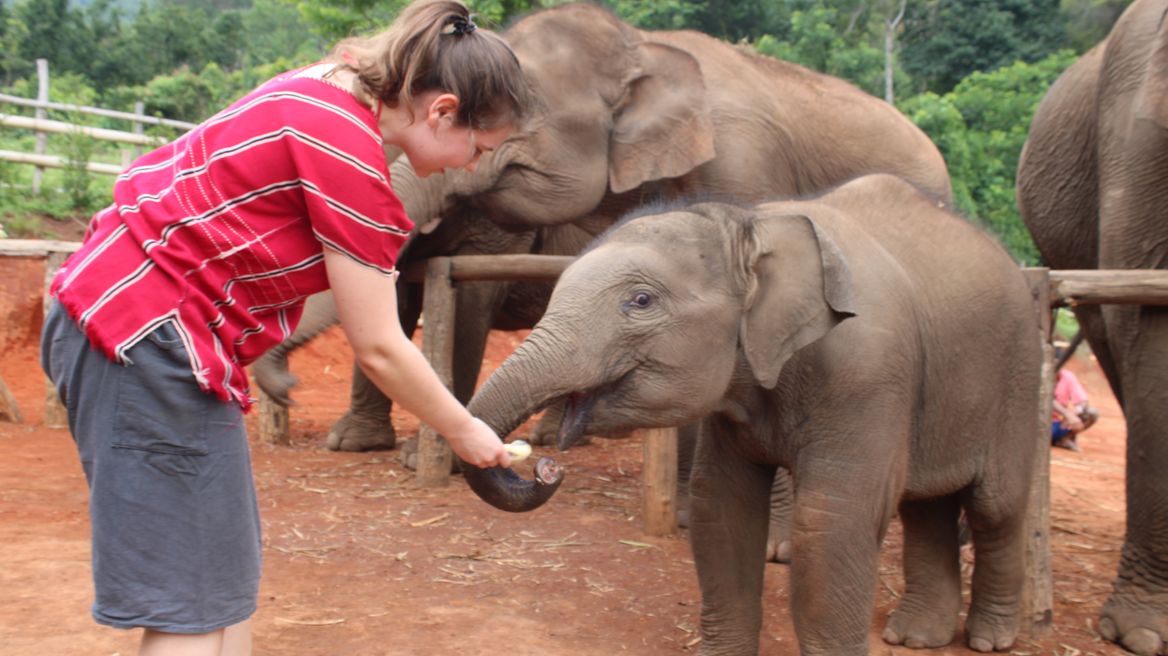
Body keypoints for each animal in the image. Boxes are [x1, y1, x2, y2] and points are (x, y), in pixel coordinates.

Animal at [464, 174, 1043, 654]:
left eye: (641, 301)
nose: (545, 466)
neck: (751, 225)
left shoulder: (869, 372)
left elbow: (831, 521)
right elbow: (721, 507)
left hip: (1018, 371)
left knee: (995, 505)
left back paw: (990, 639)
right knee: (927, 505)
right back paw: (916, 638)